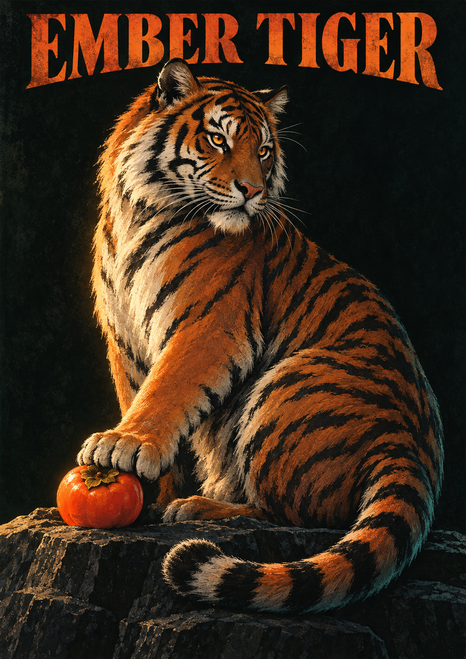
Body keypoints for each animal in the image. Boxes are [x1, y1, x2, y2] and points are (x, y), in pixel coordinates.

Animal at [77, 57, 444, 614]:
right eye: (217, 139)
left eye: (264, 150)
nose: (252, 190)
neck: (137, 211)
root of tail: (411, 450)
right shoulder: (123, 338)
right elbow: (138, 392)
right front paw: (148, 488)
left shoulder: (210, 326)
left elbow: (165, 392)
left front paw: (123, 445)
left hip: (289, 385)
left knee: (295, 514)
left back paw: (199, 507)